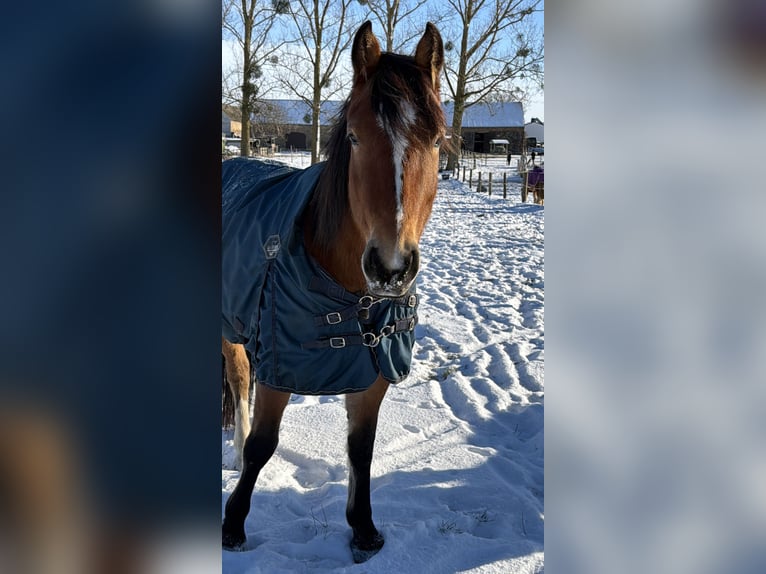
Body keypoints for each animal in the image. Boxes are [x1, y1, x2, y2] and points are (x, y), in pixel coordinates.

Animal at [221, 21, 446, 563]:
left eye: (436, 140)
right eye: (356, 137)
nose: (390, 266)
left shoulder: (374, 370)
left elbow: (360, 448)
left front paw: (363, 529)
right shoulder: (281, 363)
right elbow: (263, 444)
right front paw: (233, 525)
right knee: (238, 381)